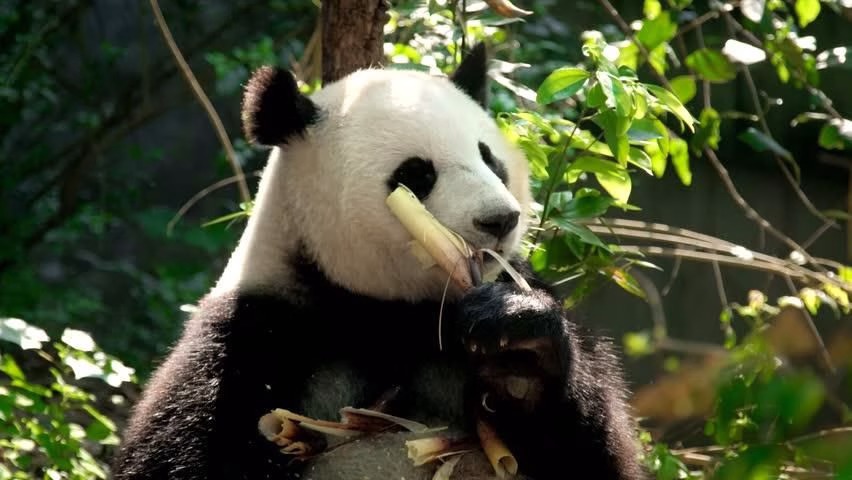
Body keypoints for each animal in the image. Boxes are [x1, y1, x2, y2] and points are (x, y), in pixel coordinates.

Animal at [112, 44, 644, 480]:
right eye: (417, 173)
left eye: (489, 158)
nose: (500, 219)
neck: (385, 311)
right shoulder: (255, 336)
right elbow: (179, 451)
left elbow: (592, 455)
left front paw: (518, 353)